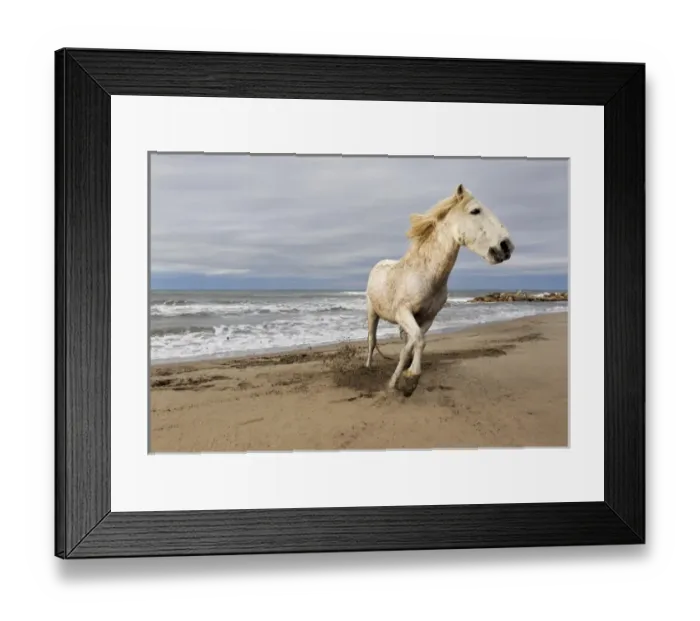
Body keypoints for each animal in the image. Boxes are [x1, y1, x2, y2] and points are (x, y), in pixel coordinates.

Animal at [364, 183, 514, 395]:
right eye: (475, 211)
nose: (506, 246)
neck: (425, 274)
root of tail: (379, 265)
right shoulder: (403, 312)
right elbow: (419, 340)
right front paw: (410, 379)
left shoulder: (427, 318)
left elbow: (411, 345)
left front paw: (399, 380)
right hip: (372, 312)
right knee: (371, 340)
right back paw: (367, 366)